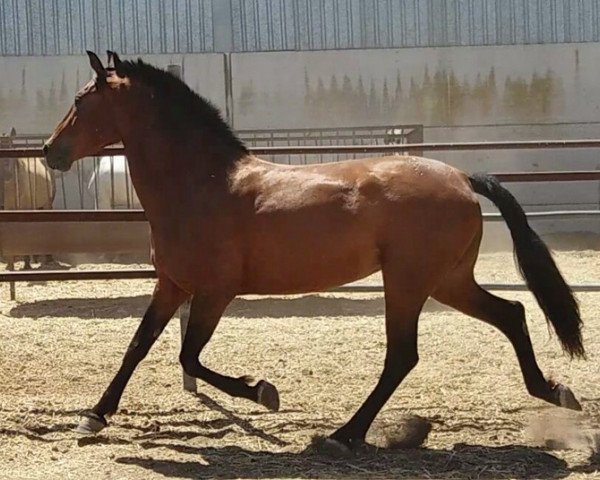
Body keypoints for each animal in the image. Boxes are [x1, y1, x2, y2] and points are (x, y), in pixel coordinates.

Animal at [43, 51, 584, 454]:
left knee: (403, 355)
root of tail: (461, 177)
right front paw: (93, 417)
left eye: (80, 100)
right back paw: (555, 391)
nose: (50, 151)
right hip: (448, 281)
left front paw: (263, 392)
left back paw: (345, 435)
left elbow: (188, 357)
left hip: (409, 282)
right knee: (511, 313)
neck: (202, 185)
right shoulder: (172, 284)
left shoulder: (215, 292)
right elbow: (138, 346)